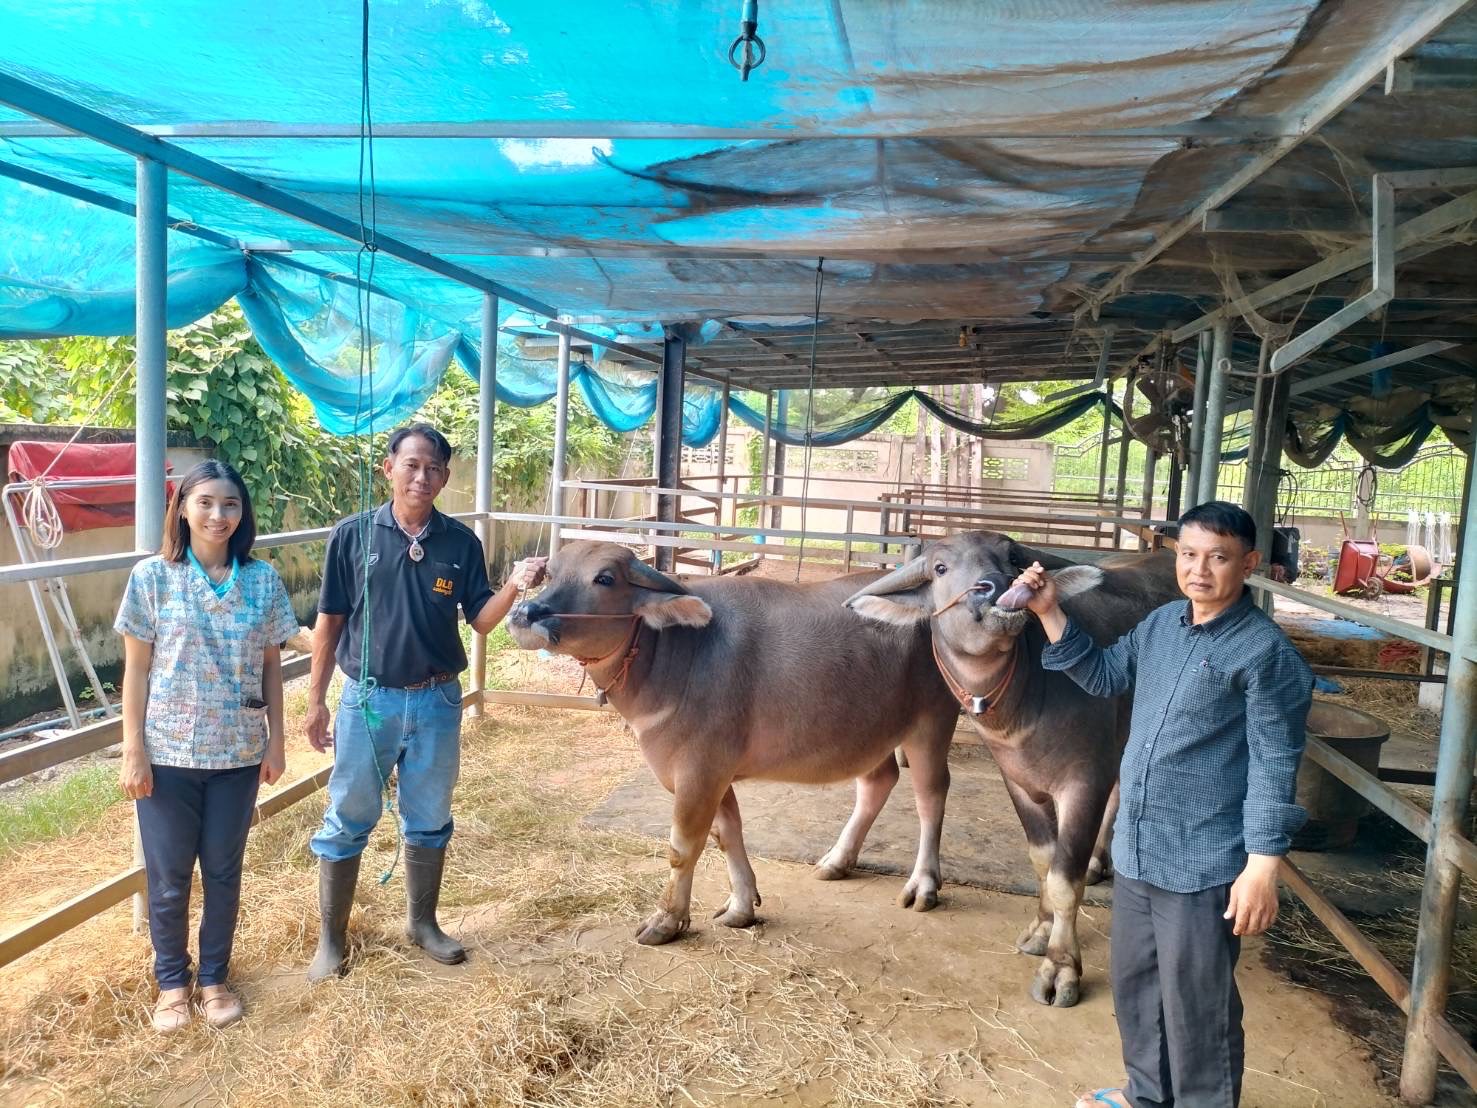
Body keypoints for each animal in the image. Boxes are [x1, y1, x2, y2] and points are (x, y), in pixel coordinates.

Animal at [513, 537, 963, 945]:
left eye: (604, 578)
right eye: (551, 574)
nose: (525, 612)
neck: (673, 653)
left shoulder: (699, 770)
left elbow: (683, 846)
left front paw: (666, 920)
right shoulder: (715, 773)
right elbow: (727, 834)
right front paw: (742, 906)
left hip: (933, 720)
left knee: (931, 795)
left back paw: (924, 885)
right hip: (872, 731)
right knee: (877, 782)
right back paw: (836, 861)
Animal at [844, 534, 1175, 1010]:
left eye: (1013, 557)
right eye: (940, 568)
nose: (995, 586)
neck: (1027, 700)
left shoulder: (1083, 782)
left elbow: (1064, 878)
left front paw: (1060, 967)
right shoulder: (1018, 783)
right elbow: (1042, 860)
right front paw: (1041, 928)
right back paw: (1099, 861)